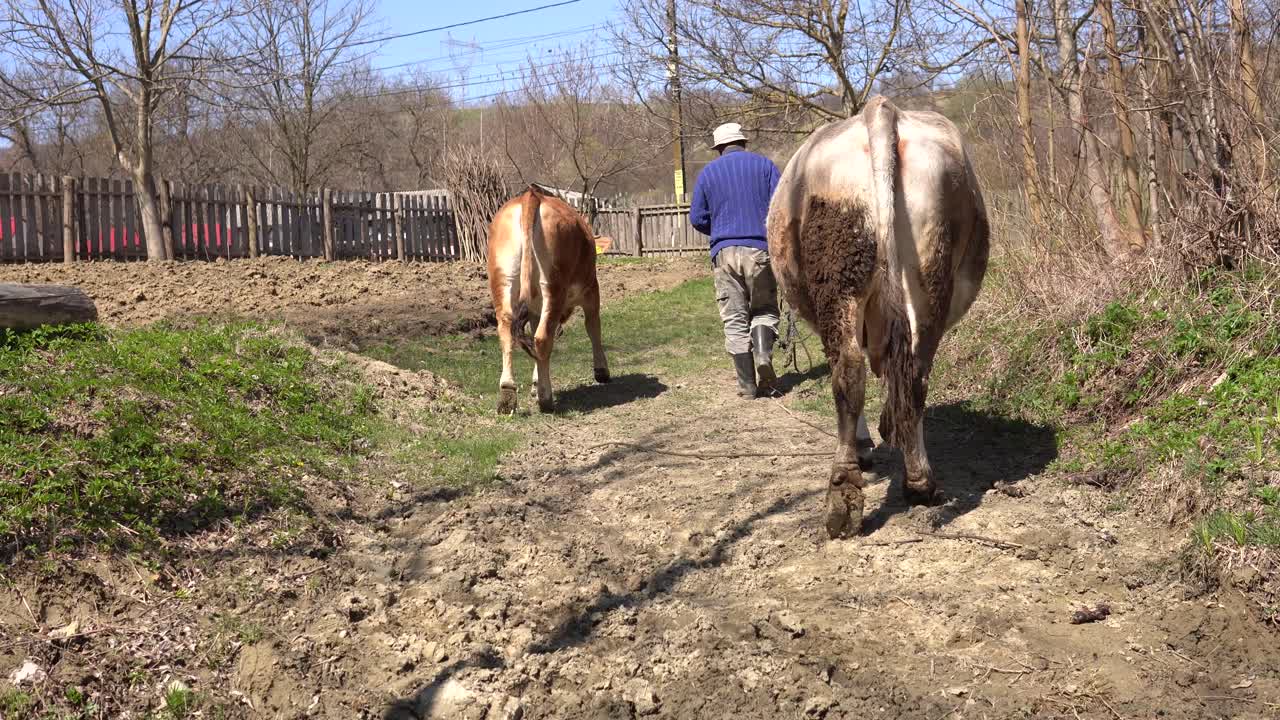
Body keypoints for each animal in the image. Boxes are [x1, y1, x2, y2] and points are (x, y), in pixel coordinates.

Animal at [487, 186, 610, 415]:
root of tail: (531, 196)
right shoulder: (591, 290)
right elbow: (593, 327)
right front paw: (601, 370)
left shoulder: (535, 309)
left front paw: (535, 383)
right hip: (553, 285)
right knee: (543, 338)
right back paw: (546, 399)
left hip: (503, 280)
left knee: (508, 333)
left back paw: (507, 393)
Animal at [765, 96, 990, 538]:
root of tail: (880, 111)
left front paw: (869, 443)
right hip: (930, 277)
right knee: (914, 373)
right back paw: (919, 483)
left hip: (838, 280)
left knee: (848, 373)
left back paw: (843, 495)